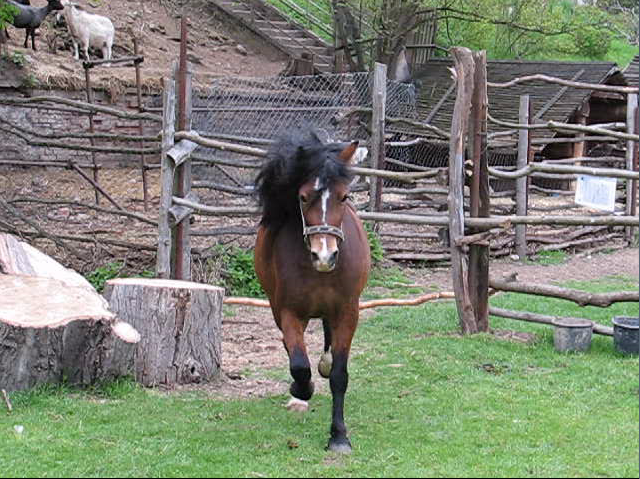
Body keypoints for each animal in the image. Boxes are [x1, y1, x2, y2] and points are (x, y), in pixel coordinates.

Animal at [252, 127, 368, 454]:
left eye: (345, 196)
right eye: (303, 197)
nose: (324, 256)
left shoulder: (347, 312)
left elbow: (339, 375)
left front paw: (339, 436)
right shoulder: (289, 312)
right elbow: (300, 366)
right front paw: (301, 390)